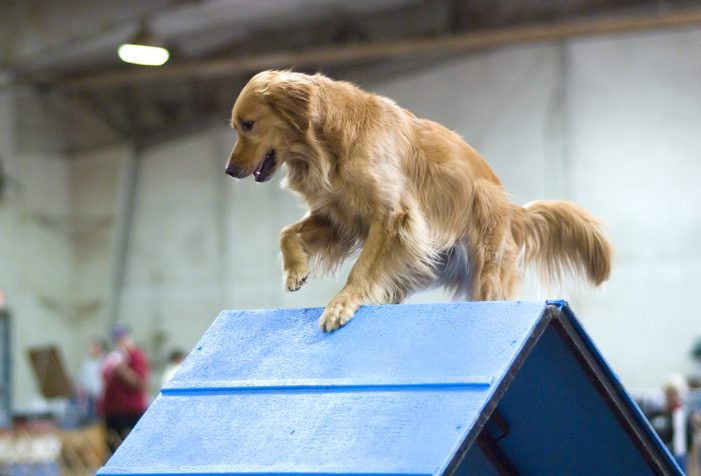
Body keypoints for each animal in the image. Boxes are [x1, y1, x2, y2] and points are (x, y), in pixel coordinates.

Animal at [227, 69, 608, 330]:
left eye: (248, 124)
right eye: (235, 126)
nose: (229, 170)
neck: (328, 144)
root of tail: (511, 210)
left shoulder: (392, 216)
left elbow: (361, 269)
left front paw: (341, 305)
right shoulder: (338, 218)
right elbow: (287, 232)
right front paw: (296, 271)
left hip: (487, 273)